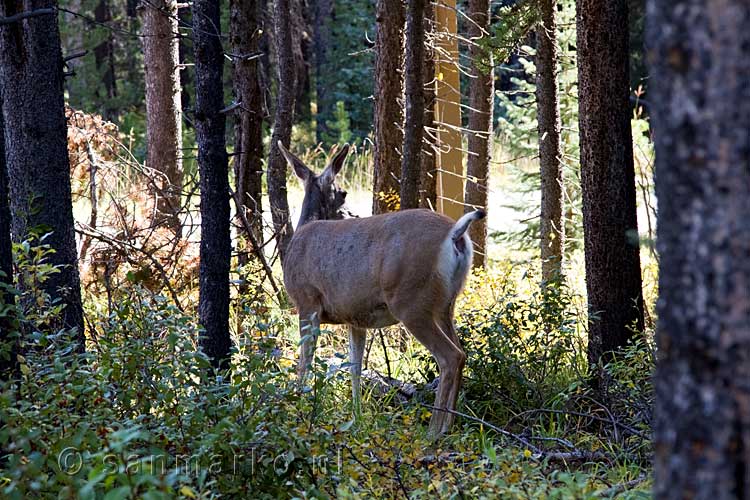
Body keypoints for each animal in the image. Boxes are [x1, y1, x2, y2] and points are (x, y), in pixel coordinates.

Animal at [278, 141, 488, 438]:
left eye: (343, 192)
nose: (351, 213)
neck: (304, 228)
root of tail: (456, 235)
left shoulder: (307, 302)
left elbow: (303, 363)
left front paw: (296, 405)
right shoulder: (355, 319)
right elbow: (354, 368)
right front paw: (356, 417)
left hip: (412, 301)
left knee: (450, 356)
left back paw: (434, 431)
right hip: (446, 304)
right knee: (462, 353)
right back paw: (449, 425)